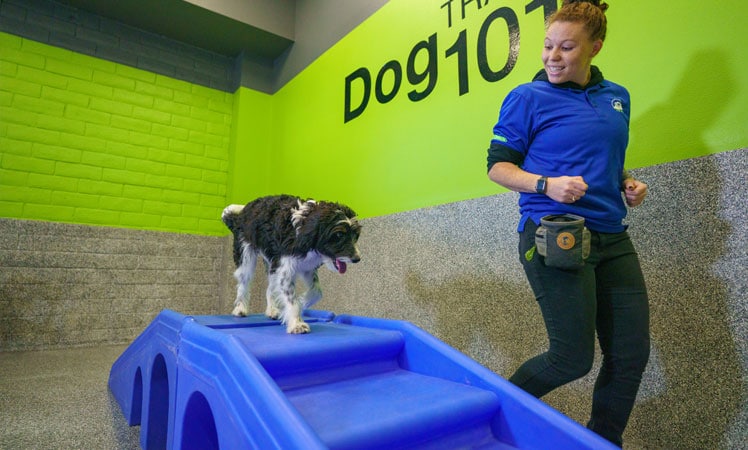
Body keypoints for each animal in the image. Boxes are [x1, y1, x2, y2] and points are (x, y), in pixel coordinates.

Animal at [221, 194, 360, 334]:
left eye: (356, 235)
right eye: (339, 234)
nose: (357, 259)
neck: (303, 226)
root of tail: (240, 216)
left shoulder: (307, 267)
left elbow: (316, 292)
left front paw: (302, 302)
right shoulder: (285, 269)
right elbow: (291, 299)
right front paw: (297, 324)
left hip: (271, 262)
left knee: (270, 287)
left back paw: (272, 310)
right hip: (246, 258)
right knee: (243, 284)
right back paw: (240, 308)